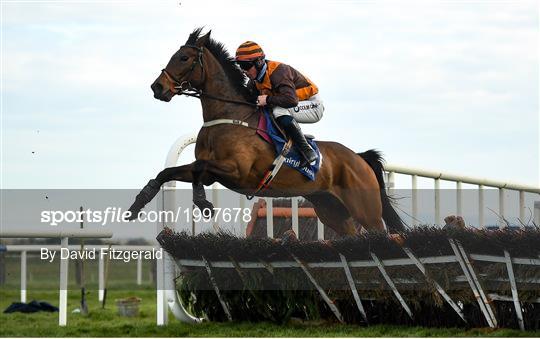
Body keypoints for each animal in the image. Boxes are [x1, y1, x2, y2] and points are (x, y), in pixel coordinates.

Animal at [126, 27, 404, 238]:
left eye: (183, 58)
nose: (157, 87)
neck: (229, 115)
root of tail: (359, 158)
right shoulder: (213, 172)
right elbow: (169, 173)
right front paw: (138, 203)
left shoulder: (237, 171)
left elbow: (199, 168)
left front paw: (203, 202)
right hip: (331, 210)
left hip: (366, 211)